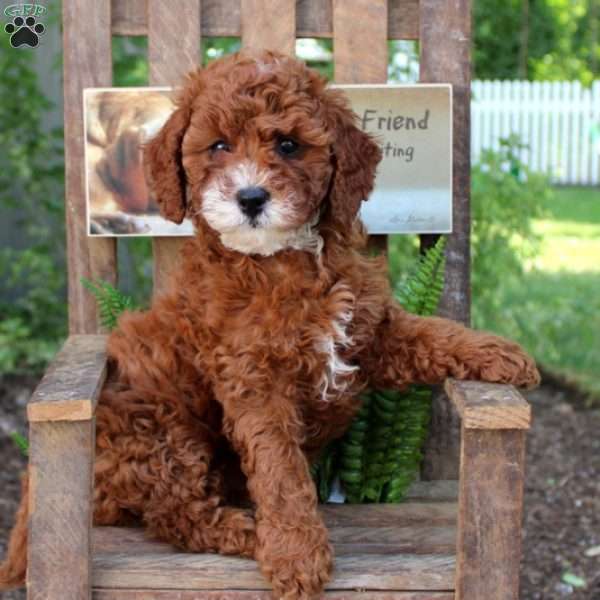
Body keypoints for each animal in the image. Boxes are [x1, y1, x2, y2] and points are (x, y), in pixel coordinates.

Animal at [0, 50, 540, 600]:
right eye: (218, 146)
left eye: (288, 145)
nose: (251, 197)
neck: (283, 258)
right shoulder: (254, 379)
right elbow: (280, 468)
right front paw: (295, 553)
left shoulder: (370, 336)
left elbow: (434, 332)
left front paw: (503, 353)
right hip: (157, 435)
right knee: (176, 513)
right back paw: (247, 531)